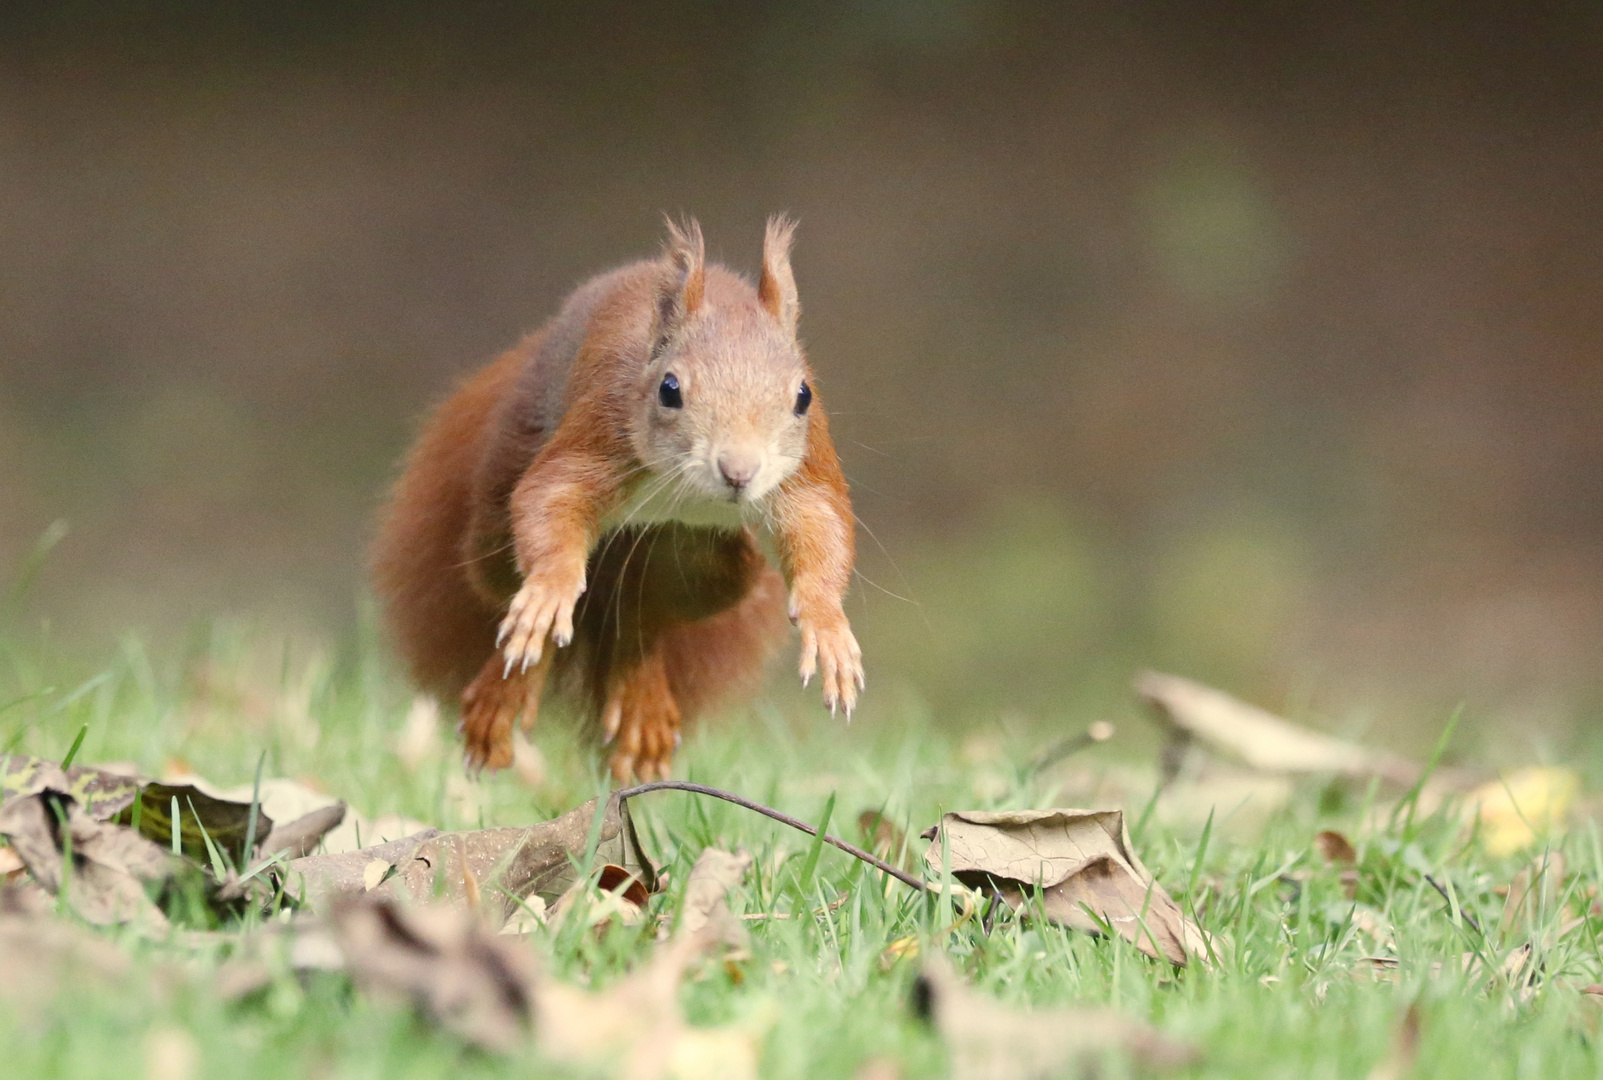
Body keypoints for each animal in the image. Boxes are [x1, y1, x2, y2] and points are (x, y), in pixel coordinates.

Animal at [370, 216, 865, 775]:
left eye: (803, 395)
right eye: (669, 389)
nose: (738, 471)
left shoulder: (806, 464)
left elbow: (822, 523)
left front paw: (827, 626)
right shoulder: (602, 424)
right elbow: (552, 496)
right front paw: (550, 590)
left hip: (711, 567)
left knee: (644, 619)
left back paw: (639, 703)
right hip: (497, 511)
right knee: (508, 589)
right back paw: (511, 683)